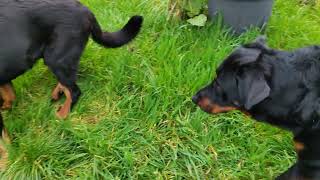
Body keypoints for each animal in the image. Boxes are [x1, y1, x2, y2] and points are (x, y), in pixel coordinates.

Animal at [0, 0, 142, 119]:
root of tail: (86, 10)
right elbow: (10, 95)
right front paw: (6, 107)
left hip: (56, 59)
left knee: (74, 91)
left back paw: (62, 115)